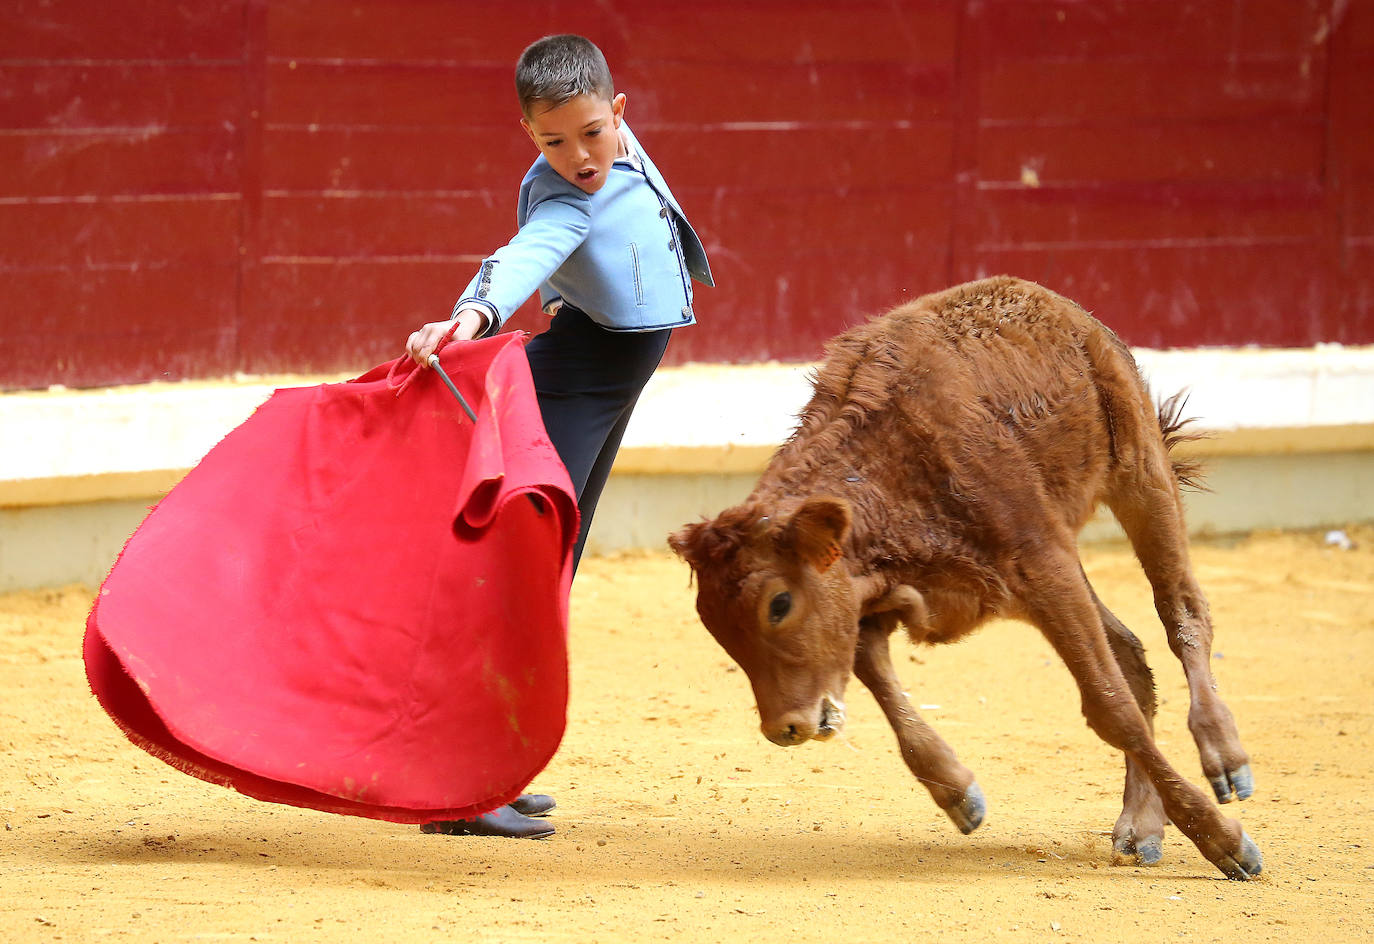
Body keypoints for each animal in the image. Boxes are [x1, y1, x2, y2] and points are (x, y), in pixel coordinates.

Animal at [670, 277, 1258, 884]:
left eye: (779, 604)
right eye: (715, 627)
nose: (784, 727)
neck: (891, 473)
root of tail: (1045, 299)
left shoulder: (1043, 566)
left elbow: (1110, 707)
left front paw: (1227, 843)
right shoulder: (887, 597)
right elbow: (878, 679)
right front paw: (959, 796)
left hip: (1140, 473)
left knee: (1182, 612)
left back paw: (1225, 759)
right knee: (1131, 653)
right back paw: (1141, 827)